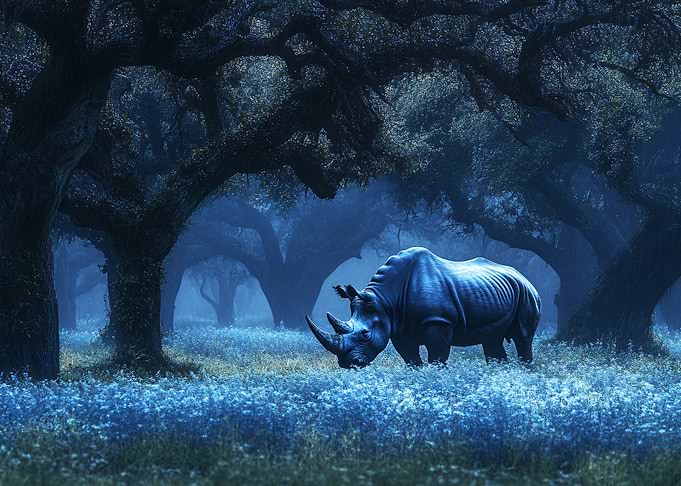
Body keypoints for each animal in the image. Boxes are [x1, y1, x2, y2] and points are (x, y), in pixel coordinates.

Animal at [307, 247, 541, 368]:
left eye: (365, 335)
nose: (347, 363)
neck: (384, 300)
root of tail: (523, 276)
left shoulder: (437, 321)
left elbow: (437, 357)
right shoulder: (398, 328)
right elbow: (411, 359)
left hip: (527, 293)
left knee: (523, 337)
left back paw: (525, 369)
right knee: (492, 340)